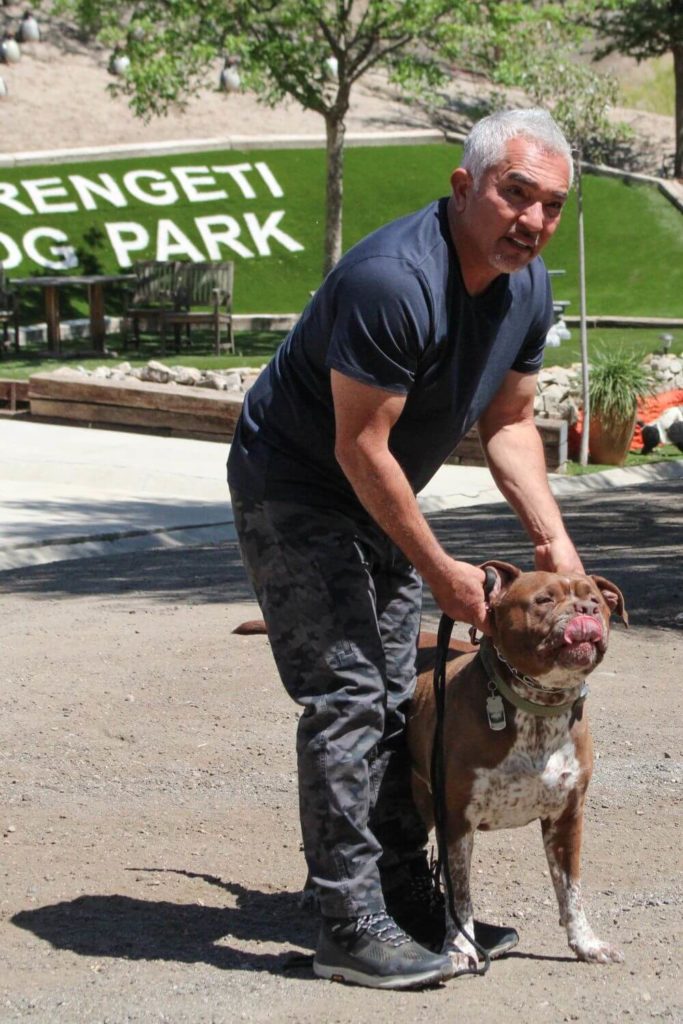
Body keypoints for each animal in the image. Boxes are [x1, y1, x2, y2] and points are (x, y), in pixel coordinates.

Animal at [409, 565, 626, 970]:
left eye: (597, 601)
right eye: (544, 599)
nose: (586, 609)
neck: (540, 707)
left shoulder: (567, 818)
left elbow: (571, 890)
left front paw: (586, 943)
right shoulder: (457, 822)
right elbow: (460, 897)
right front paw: (460, 947)